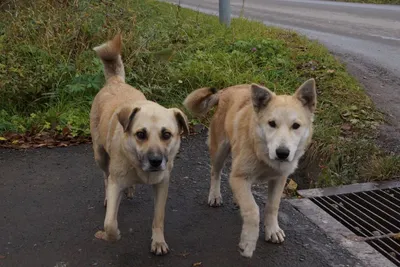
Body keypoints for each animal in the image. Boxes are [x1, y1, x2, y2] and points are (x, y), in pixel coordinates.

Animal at [90, 33, 188, 255]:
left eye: (167, 134)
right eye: (141, 134)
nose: (155, 161)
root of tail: (115, 81)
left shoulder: (162, 184)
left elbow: (158, 218)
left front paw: (158, 241)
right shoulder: (116, 183)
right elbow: (110, 223)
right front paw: (114, 235)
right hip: (99, 155)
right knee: (105, 175)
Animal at [183, 80, 318, 258]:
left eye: (296, 126)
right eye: (272, 123)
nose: (282, 153)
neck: (264, 153)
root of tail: (227, 90)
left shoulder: (279, 179)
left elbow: (272, 206)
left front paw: (272, 230)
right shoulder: (239, 177)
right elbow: (253, 210)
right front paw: (248, 242)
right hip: (220, 151)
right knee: (215, 173)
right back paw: (215, 195)